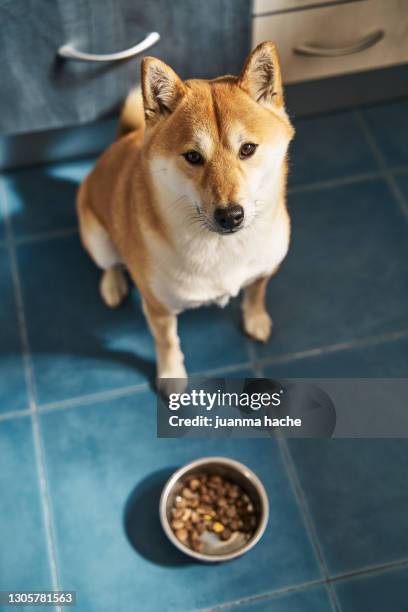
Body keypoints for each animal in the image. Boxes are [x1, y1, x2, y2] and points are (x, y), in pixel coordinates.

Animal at [76, 43, 294, 396]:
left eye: (248, 149)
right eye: (193, 156)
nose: (230, 215)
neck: (223, 249)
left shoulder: (267, 266)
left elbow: (256, 292)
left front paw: (256, 319)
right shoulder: (158, 307)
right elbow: (167, 342)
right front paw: (171, 376)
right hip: (98, 238)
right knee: (109, 263)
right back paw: (113, 284)